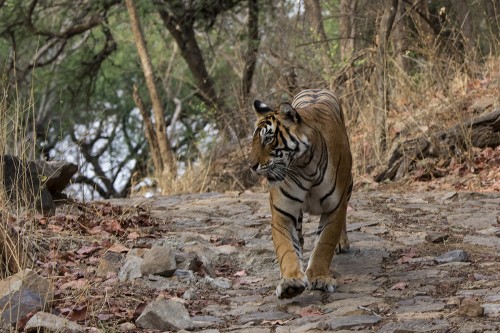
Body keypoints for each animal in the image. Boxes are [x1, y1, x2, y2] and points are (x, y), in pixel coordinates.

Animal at [249, 88, 352, 298]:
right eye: (253, 140)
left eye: (268, 139)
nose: (251, 165)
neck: (305, 166)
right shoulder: (282, 213)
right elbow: (286, 249)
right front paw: (291, 281)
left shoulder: (335, 207)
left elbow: (324, 245)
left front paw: (319, 277)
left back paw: (342, 242)